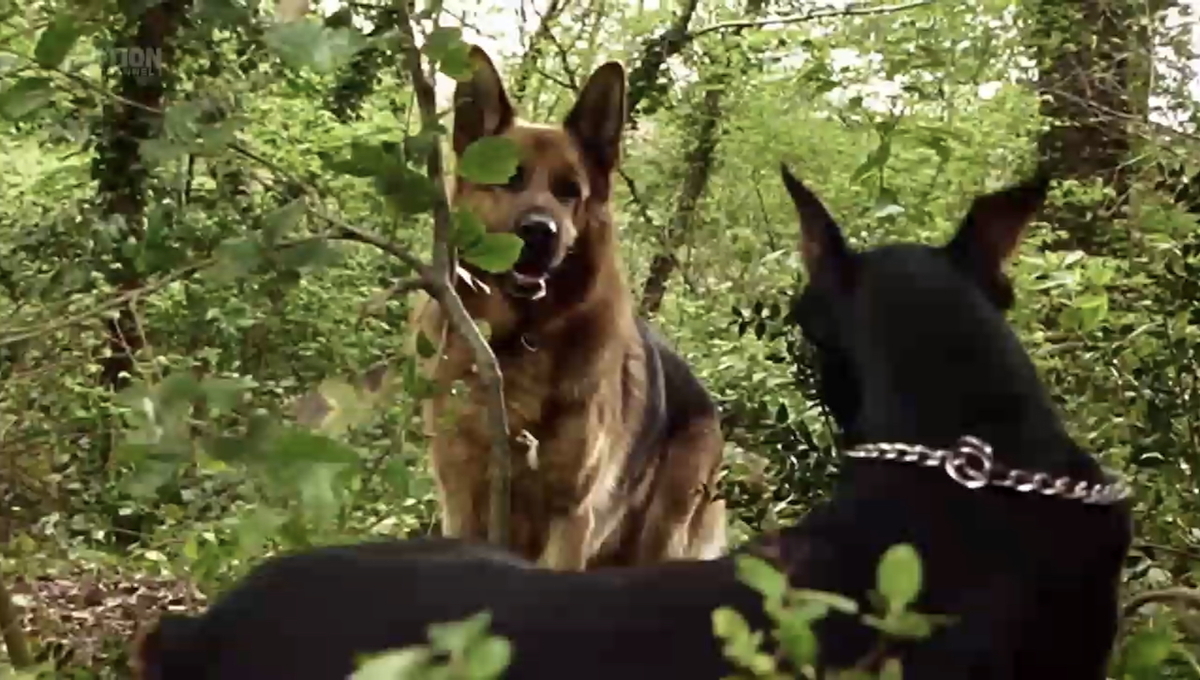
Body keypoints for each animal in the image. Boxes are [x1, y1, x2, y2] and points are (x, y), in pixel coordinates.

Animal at [409, 46, 727, 569]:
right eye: (508, 180)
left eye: (569, 192)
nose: (540, 232)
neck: (519, 342)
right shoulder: (462, 502)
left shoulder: (571, 520)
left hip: (659, 538)